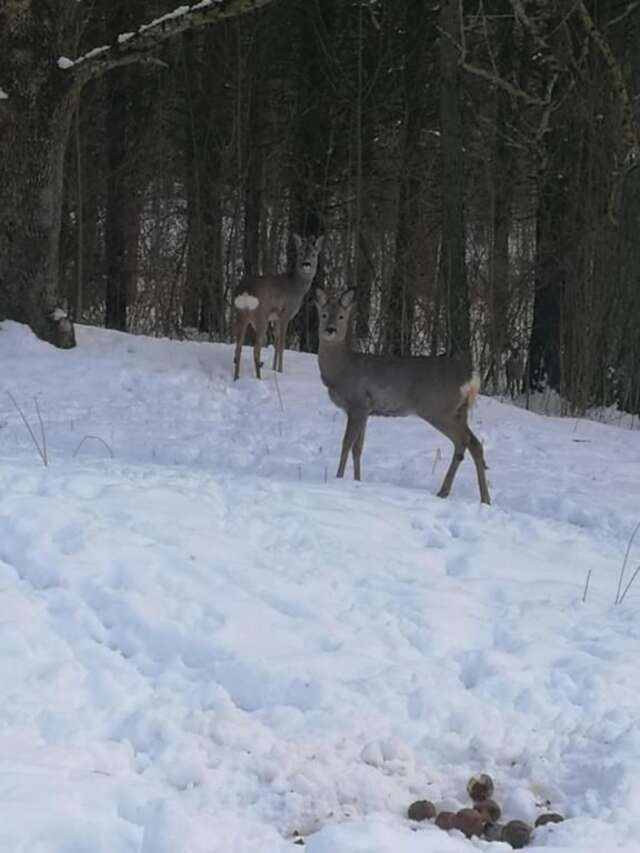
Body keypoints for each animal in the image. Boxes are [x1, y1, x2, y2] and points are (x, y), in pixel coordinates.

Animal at [232, 233, 324, 380]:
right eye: (301, 253)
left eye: (314, 254)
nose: (307, 264)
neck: (296, 287)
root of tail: (245, 292)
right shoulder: (285, 313)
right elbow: (281, 343)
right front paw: (280, 370)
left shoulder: (274, 318)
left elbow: (275, 341)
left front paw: (274, 369)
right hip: (261, 316)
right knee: (256, 347)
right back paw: (259, 377)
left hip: (240, 315)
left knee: (238, 346)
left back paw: (236, 377)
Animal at [316, 290, 490, 506]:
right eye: (323, 314)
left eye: (341, 316)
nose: (330, 329)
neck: (341, 370)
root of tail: (471, 378)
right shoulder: (367, 410)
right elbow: (358, 447)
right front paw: (357, 481)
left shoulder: (357, 404)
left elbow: (346, 443)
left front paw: (338, 478)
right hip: (460, 410)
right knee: (472, 444)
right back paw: (473, 497)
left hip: (439, 409)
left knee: (464, 441)